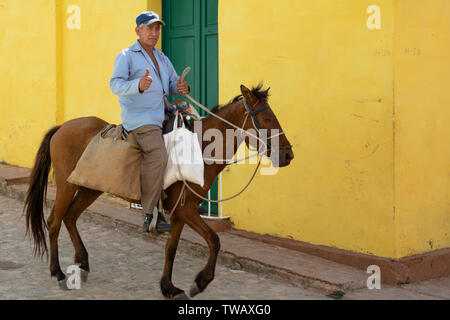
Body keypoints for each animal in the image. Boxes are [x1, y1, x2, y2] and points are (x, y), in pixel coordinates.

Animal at [23, 84, 296, 298]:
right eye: (267, 119)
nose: (288, 155)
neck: (199, 147)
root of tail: (61, 128)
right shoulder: (186, 209)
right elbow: (214, 240)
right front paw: (200, 282)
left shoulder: (180, 211)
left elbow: (172, 248)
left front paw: (168, 287)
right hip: (67, 186)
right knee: (54, 221)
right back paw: (58, 272)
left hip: (90, 188)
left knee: (70, 217)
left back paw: (82, 263)